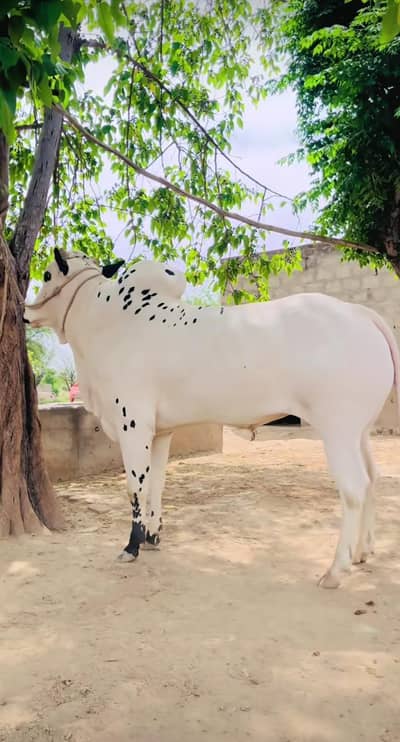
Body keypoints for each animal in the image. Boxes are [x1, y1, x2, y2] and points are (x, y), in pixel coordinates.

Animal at [24, 248, 400, 588]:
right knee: (373, 478)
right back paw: (362, 552)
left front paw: (132, 546)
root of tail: (359, 313)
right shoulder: (160, 432)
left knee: (354, 488)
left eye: (47, 274)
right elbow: (156, 486)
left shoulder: (133, 425)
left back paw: (335, 570)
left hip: (337, 429)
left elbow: (135, 488)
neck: (105, 321)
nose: (26, 313)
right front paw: (152, 537)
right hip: (359, 431)